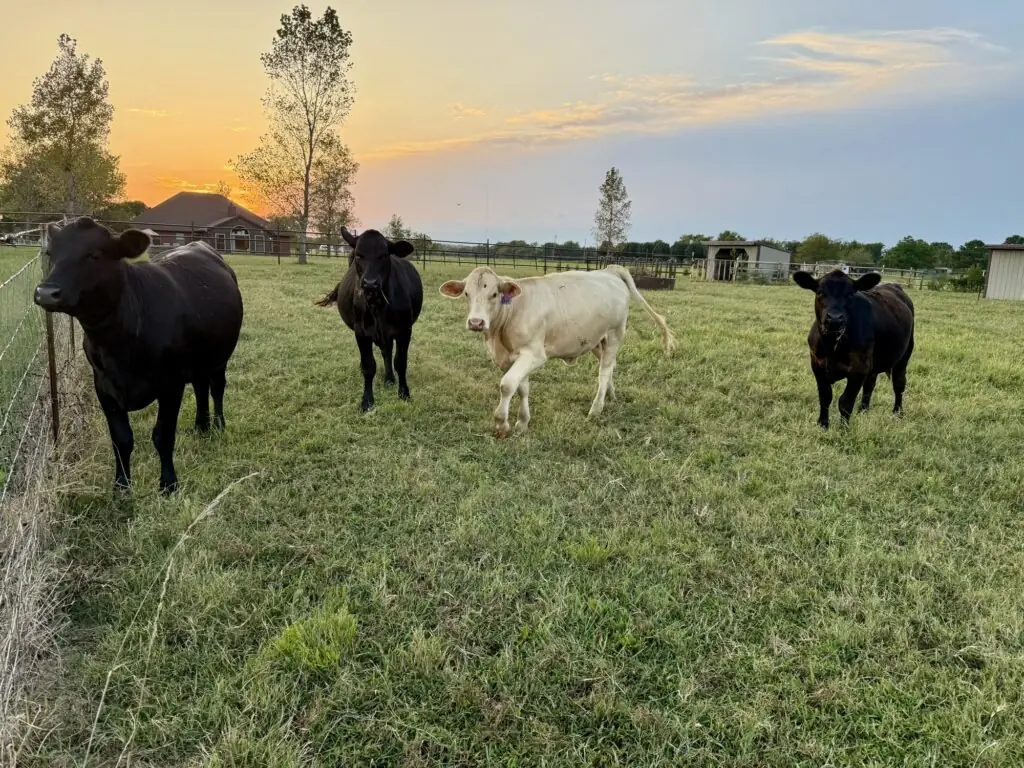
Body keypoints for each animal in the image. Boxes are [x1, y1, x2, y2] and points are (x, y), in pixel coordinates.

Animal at [33, 217, 244, 494]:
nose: (46, 292)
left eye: (95, 254)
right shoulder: (103, 386)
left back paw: (218, 425)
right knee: (200, 387)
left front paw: (169, 484)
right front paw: (122, 486)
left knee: (216, 388)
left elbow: (163, 435)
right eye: (51, 253)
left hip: (219, 358)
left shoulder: (171, 384)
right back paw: (201, 426)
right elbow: (121, 438)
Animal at [315, 227, 423, 412]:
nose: (370, 284)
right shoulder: (361, 332)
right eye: (359, 255)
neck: (378, 306)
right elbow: (368, 366)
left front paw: (404, 393)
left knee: (387, 352)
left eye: (384, 255)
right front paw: (367, 401)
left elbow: (400, 362)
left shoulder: (405, 330)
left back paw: (389, 379)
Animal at [439, 265, 675, 437]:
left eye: (495, 294)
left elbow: (507, 385)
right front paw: (522, 422)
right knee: (609, 367)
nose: (476, 322)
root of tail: (609, 270)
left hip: (614, 335)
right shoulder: (513, 357)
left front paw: (502, 424)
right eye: (466, 294)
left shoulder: (534, 354)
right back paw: (611, 394)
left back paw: (596, 408)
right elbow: (521, 388)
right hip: (597, 341)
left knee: (604, 371)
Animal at [792, 268, 915, 429]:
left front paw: (843, 429)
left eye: (850, 294)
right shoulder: (817, 365)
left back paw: (897, 412)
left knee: (899, 384)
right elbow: (825, 397)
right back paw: (863, 410)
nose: (835, 319)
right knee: (870, 385)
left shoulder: (859, 369)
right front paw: (823, 425)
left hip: (904, 355)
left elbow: (845, 402)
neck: (833, 345)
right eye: (820, 292)